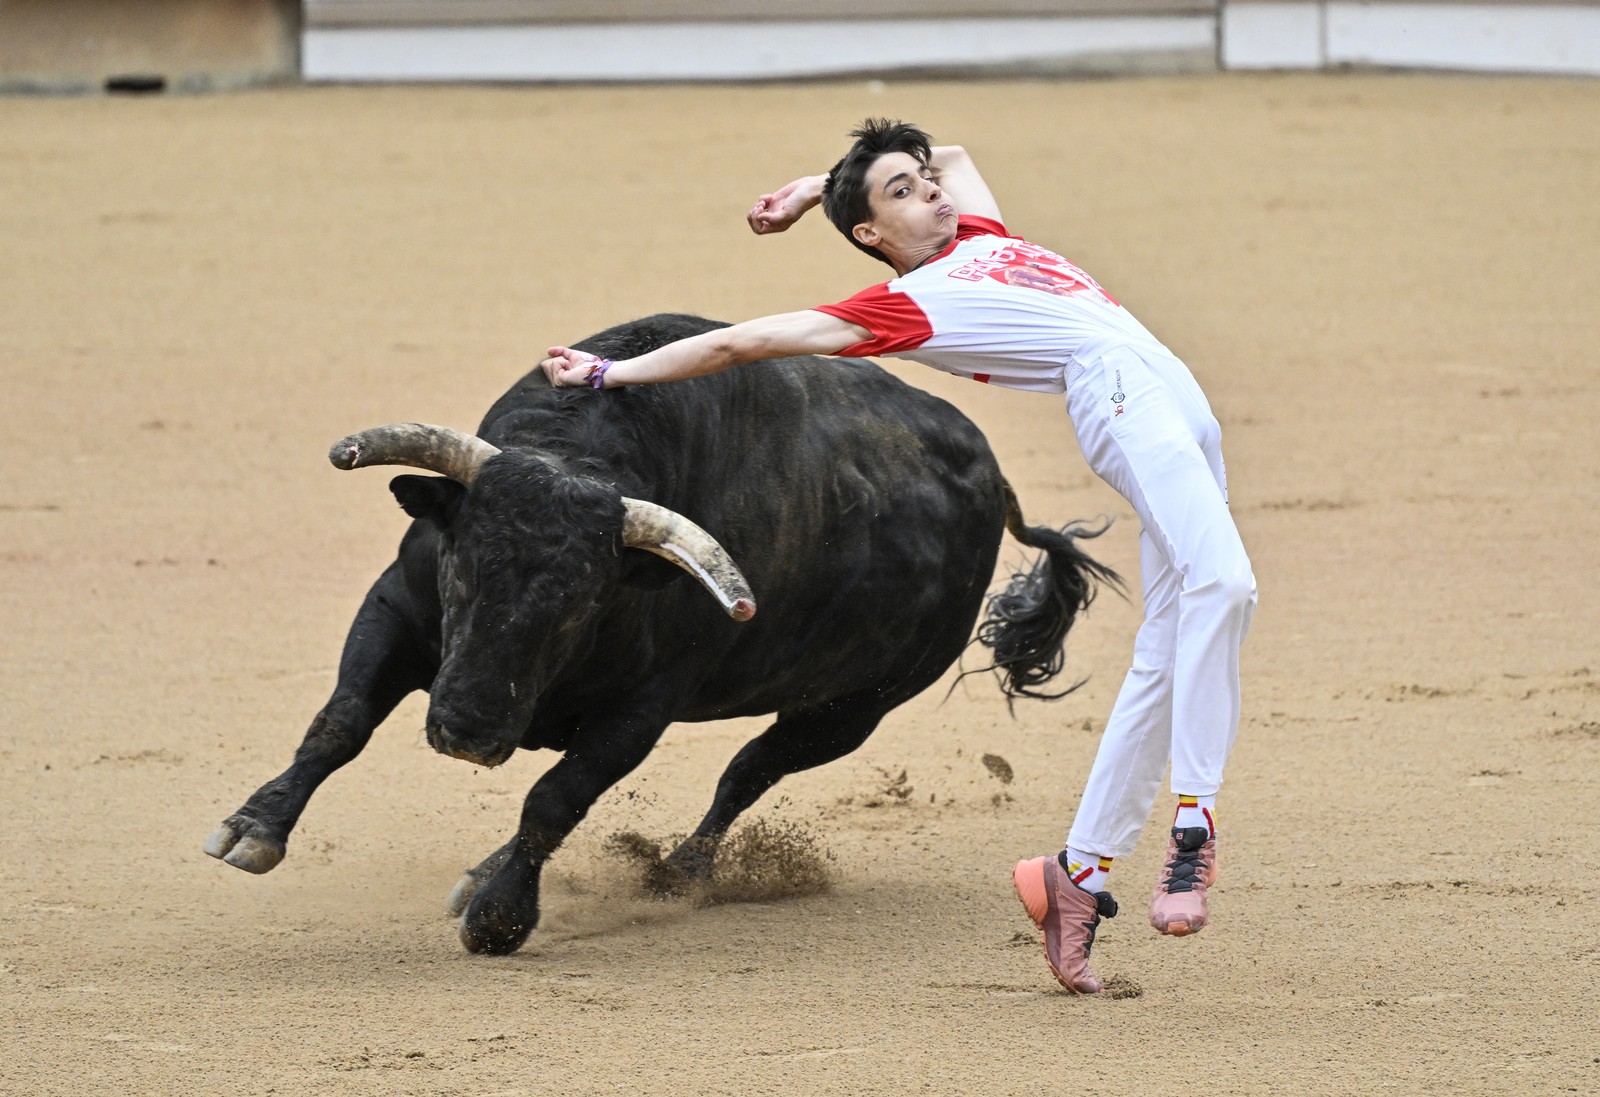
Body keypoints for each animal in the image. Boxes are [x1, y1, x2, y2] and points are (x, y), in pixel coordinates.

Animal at [204, 313, 1118, 955]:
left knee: (747, 773)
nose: (466, 731)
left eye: (583, 602)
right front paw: (254, 828)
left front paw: (500, 917)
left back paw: (675, 870)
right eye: (463, 566)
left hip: (854, 707)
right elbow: (341, 721)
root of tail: (992, 477)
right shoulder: (396, 606)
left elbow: (556, 798)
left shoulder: (640, 711)